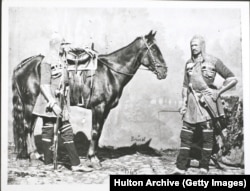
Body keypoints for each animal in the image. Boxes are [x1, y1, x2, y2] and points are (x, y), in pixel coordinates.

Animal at [12, 30, 168, 168]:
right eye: (154, 49)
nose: (164, 71)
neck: (110, 73)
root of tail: (23, 64)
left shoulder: (105, 110)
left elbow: (98, 132)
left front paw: (92, 156)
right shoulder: (99, 107)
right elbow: (95, 131)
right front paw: (93, 159)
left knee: (31, 129)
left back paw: (36, 154)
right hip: (29, 104)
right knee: (27, 127)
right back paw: (32, 157)